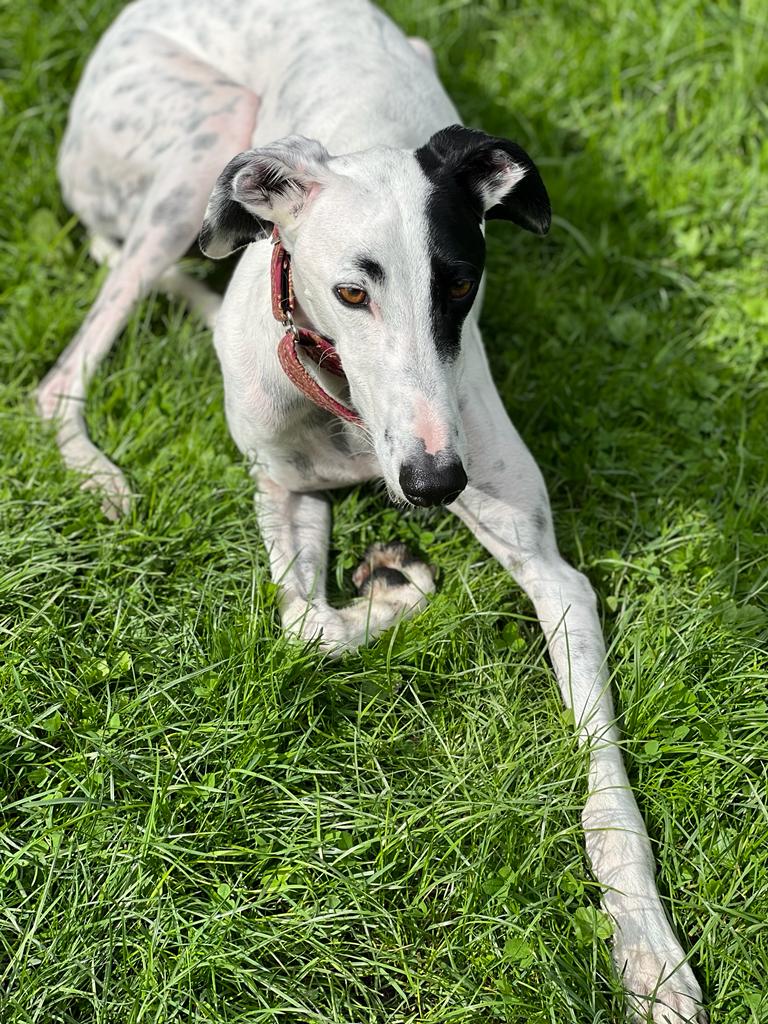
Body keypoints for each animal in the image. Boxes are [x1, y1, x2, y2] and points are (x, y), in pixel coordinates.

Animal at [39, 0, 705, 1019]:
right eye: (352, 291)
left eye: (461, 284)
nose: (434, 486)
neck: (343, 406)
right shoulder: (283, 489)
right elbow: (307, 624)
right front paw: (395, 587)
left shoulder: (553, 574)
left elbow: (608, 797)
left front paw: (650, 954)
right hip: (197, 148)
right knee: (62, 376)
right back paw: (100, 474)